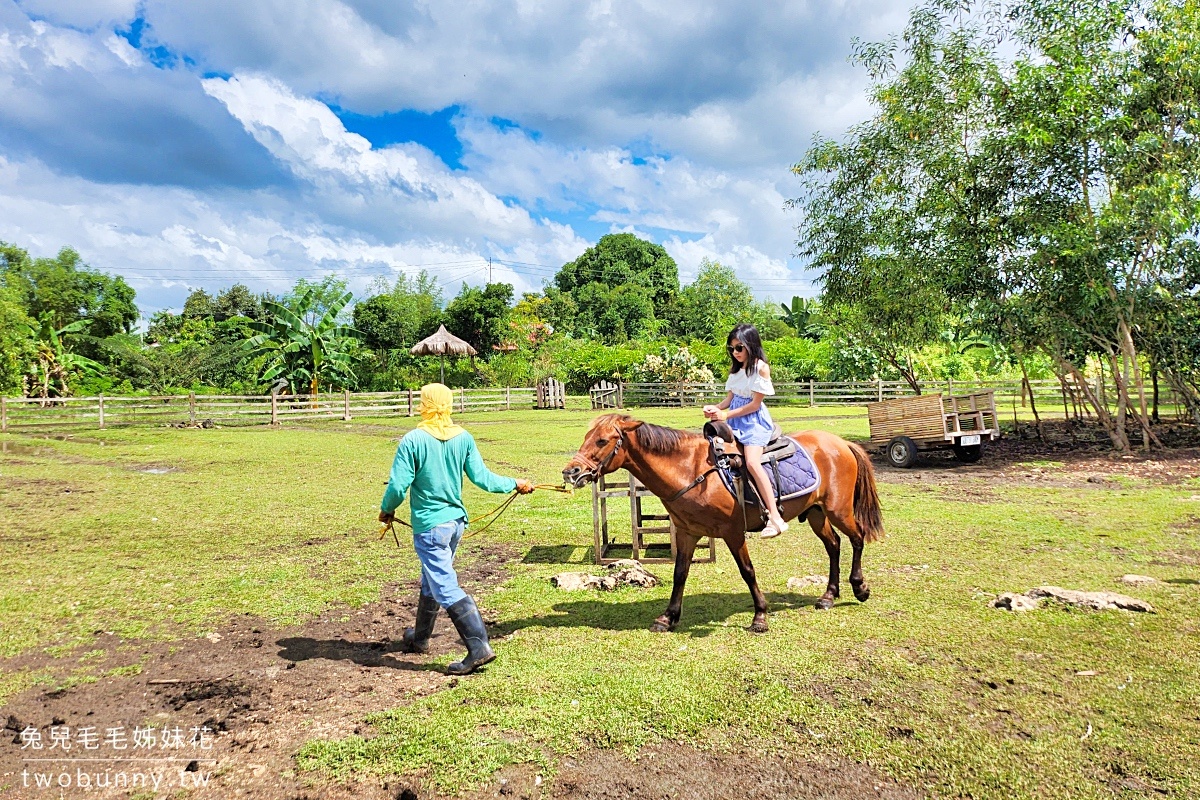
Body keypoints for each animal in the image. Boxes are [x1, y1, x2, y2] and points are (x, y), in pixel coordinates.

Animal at [559, 417, 883, 633]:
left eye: (602, 440)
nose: (570, 472)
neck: (692, 470)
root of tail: (842, 443)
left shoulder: (732, 532)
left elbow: (747, 572)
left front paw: (760, 616)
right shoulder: (688, 533)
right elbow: (680, 574)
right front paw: (668, 617)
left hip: (838, 510)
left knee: (857, 538)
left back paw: (860, 588)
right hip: (816, 512)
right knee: (834, 545)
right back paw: (828, 596)